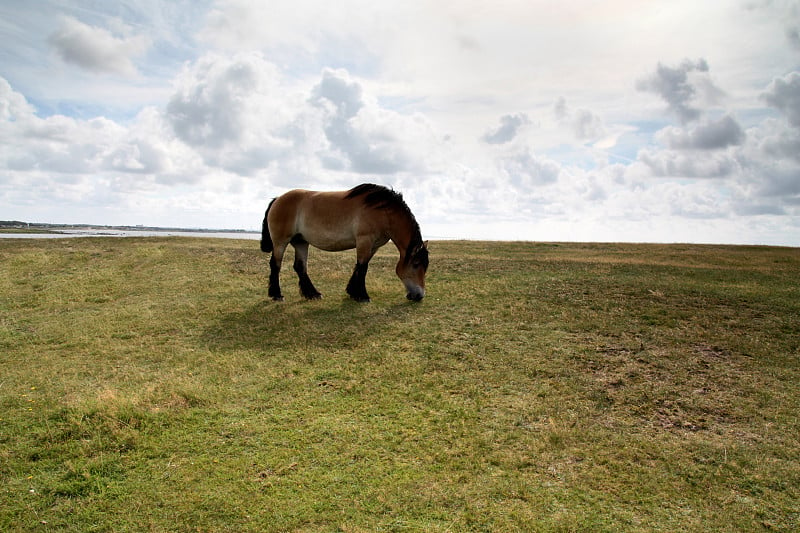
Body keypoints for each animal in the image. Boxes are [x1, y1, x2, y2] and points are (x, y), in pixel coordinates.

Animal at [260, 183, 428, 302]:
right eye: (416, 264)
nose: (419, 295)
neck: (382, 210)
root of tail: (278, 199)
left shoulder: (373, 246)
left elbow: (360, 266)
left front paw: (353, 293)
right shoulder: (364, 240)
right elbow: (363, 267)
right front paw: (362, 296)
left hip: (301, 242)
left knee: (300, 267)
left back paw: (313, 294)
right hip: (280, 242)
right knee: (276, 265)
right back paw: (277, 295)